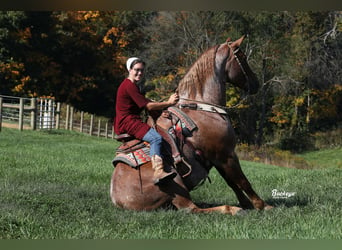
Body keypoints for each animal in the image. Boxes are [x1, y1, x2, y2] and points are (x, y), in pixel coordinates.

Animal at [111, 36, 272, 215]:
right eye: (242, 57)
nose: (256, 83)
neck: (202, 107)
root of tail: (118, 199)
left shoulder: (217, 158)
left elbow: (232, 183)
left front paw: (247, 204)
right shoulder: (227, 154)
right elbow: (243, 181)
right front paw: (262, 205)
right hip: (176, 183)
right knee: (192, 208)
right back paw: (230, 209)